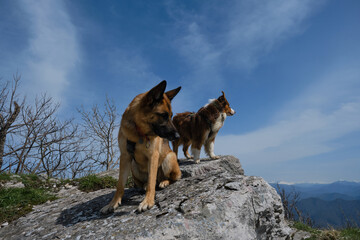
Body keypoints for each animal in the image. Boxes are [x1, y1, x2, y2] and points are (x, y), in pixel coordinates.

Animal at [100, 81, 181, 214]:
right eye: (164, 115)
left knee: (171, 178)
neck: (138, 131)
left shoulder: (153, 156)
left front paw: (148, 201)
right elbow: (120, 184)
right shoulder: (125, 157)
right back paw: (144, 185)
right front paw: (113, 203)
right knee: (145, 182)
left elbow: (151, 181)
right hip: (134, 166)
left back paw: (164, 182)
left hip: (169, 158)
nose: (177, 136)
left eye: (171, 116)